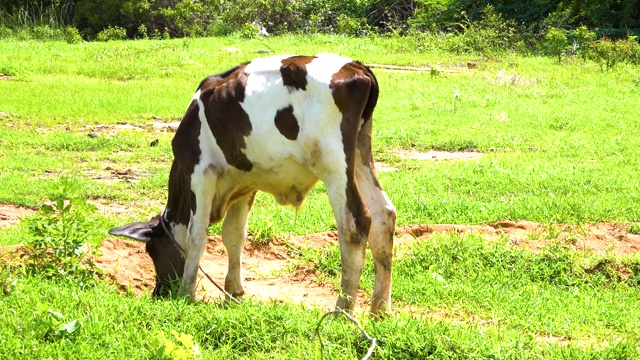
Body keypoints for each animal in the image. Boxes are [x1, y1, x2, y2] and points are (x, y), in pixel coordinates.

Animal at [110, 52, 396, 316]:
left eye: (151, 250)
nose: (159, 292)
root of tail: (356, 67)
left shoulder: (200, 172)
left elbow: (196, 235)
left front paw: (186, 293)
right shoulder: (245, 183)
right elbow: (234, 234)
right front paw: (233, 291)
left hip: (334, 164)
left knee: (355, 224)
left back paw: (342, 311)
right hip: (359, 155)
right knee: (384, 215)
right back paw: (379, 309)